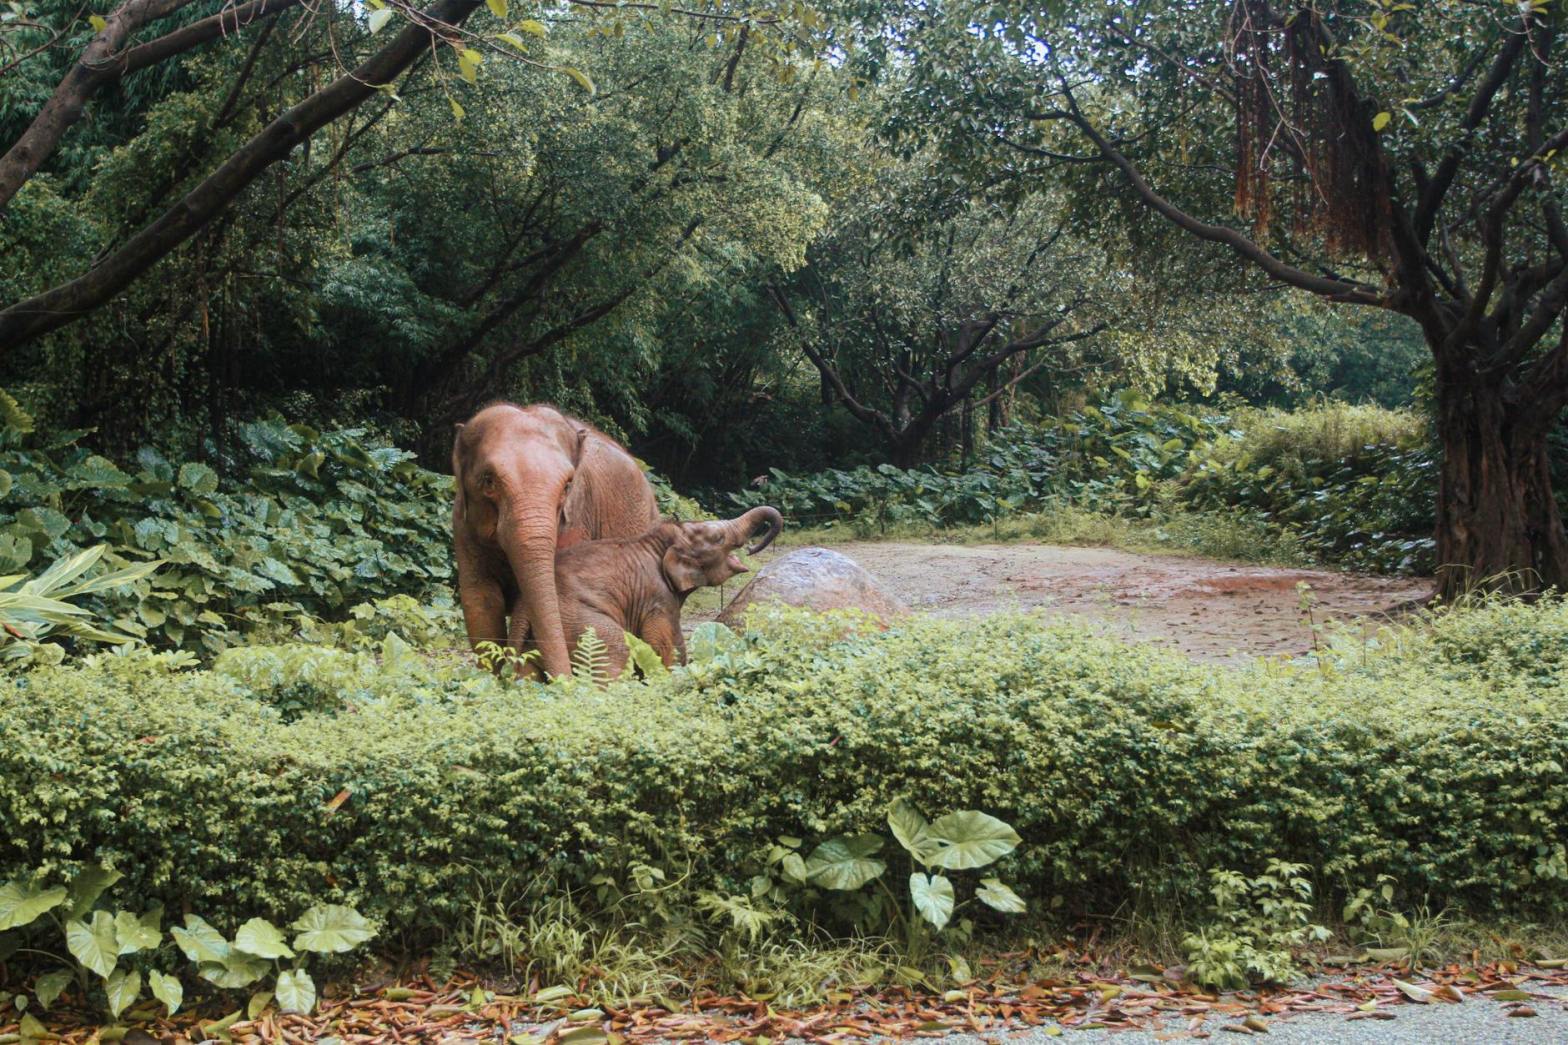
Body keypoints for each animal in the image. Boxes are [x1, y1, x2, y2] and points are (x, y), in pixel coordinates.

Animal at [451, 402, 658, 678]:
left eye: (568, 485)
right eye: (488, 480)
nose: (564, 680)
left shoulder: (577, 519)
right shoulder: (462, 526)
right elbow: (481, 600)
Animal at [552, 506, 783, 679]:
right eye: (719, 538)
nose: (751, 550)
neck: (656, 544)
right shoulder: (657, 597)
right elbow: (666, 644)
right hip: (577, 618)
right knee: (615, 651)